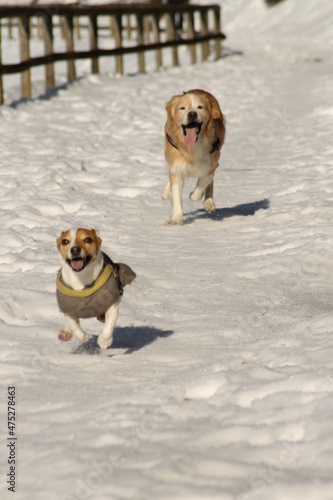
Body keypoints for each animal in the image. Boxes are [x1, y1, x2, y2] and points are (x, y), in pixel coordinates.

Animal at [161, 88, 224, 225]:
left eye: (200, 107)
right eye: (182, 108)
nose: (192, 114)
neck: (193, 147)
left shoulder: (211, 164)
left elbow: (202, 183)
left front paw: (193, 195)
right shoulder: (176, 168)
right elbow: (176, 194)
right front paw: (176, 218)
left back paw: (209, 202)